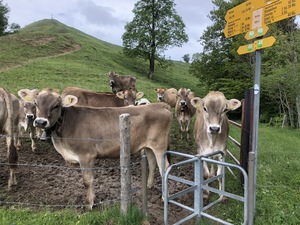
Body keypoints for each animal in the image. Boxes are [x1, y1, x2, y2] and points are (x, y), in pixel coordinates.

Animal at [32, 89, 171, 210]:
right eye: (36, 104)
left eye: (56, 105)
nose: (40, 122)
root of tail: (160, 105)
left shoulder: (86, 156)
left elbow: (87, 181)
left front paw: (89, 204)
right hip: (149, 146)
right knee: (152, 163)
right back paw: (148, 186)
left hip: (160, 146)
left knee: (164, 168)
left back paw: (165, 197)